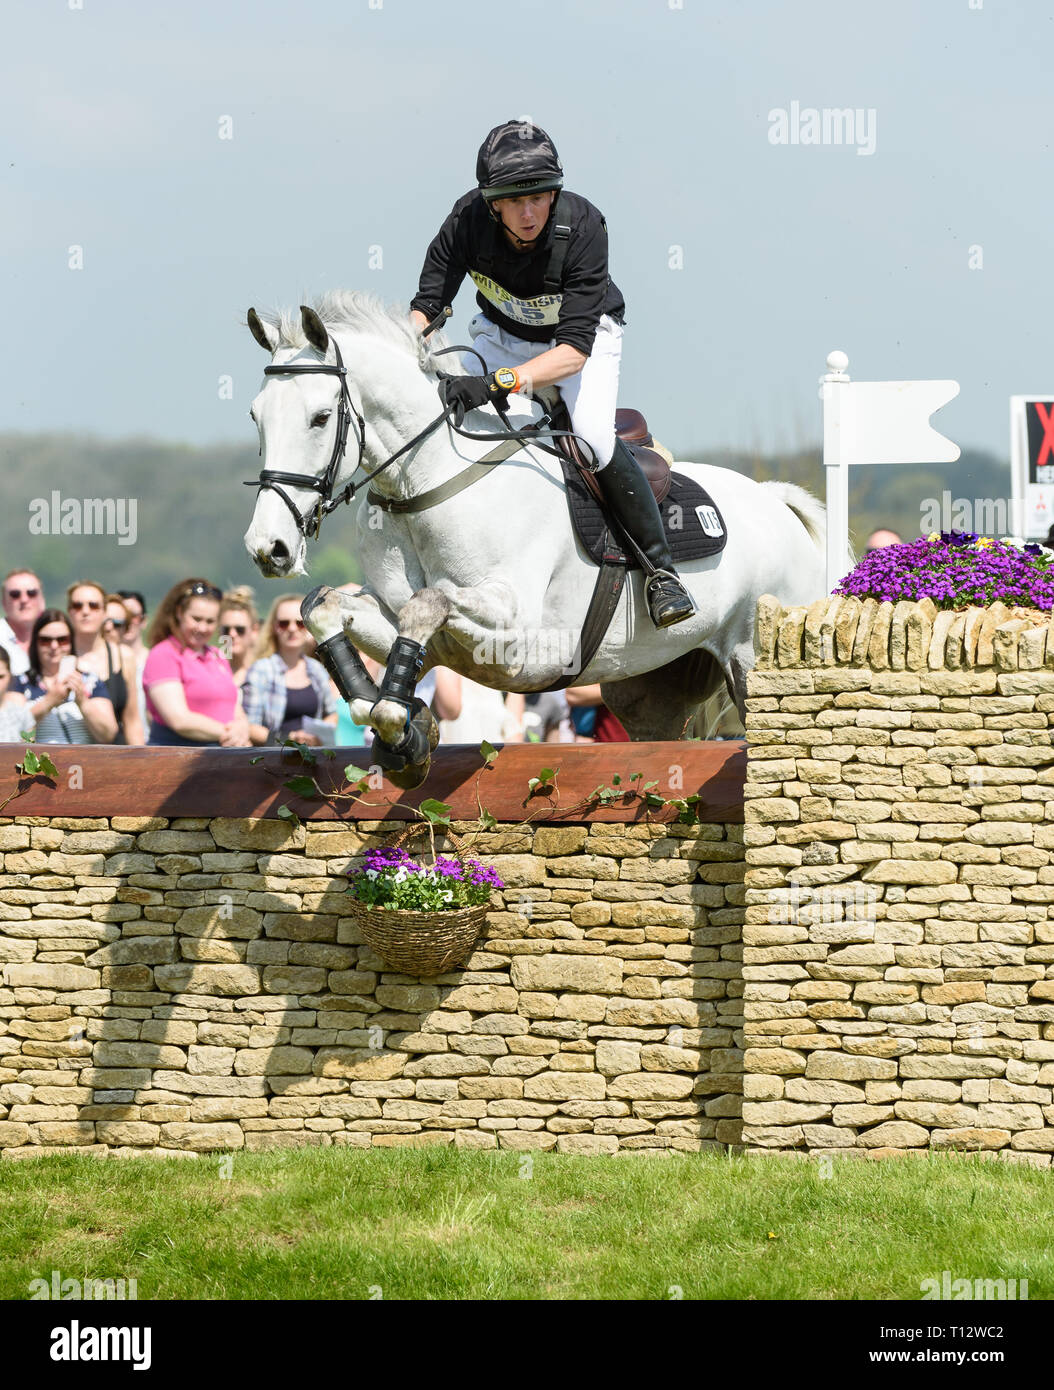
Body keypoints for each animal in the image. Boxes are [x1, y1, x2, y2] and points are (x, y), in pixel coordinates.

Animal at [246, 290, 823, 783]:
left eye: (321, 417)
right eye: (255, 417)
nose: (268, 549)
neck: (424, 484)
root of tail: (777, 503)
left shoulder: (518, 633)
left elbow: (428, 603)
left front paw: (399, 723)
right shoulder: (405, 623)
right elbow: (324, 608)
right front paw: (408, 733)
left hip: (751, 662)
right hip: (650, 691)